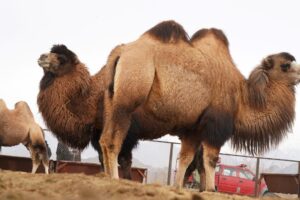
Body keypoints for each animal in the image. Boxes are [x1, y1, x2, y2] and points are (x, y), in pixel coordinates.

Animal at [37, 44, 139, 178]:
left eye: (62, 58)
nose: (42, 56)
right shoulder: (97, 135)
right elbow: (103, 159)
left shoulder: (126, 134)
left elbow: (124, 161)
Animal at [100, 20, 300, 191]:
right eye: (285, 65)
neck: (242, 98)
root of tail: (120, 52)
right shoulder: (215, 126)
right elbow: (210, 160)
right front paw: (210, 188)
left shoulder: (193, 130)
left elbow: (185, 159)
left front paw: (177, 187)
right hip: (127, 99)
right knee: (113, 140)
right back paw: (114, 179)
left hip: (111, 101)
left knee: (103, 139)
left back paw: (106, 177)